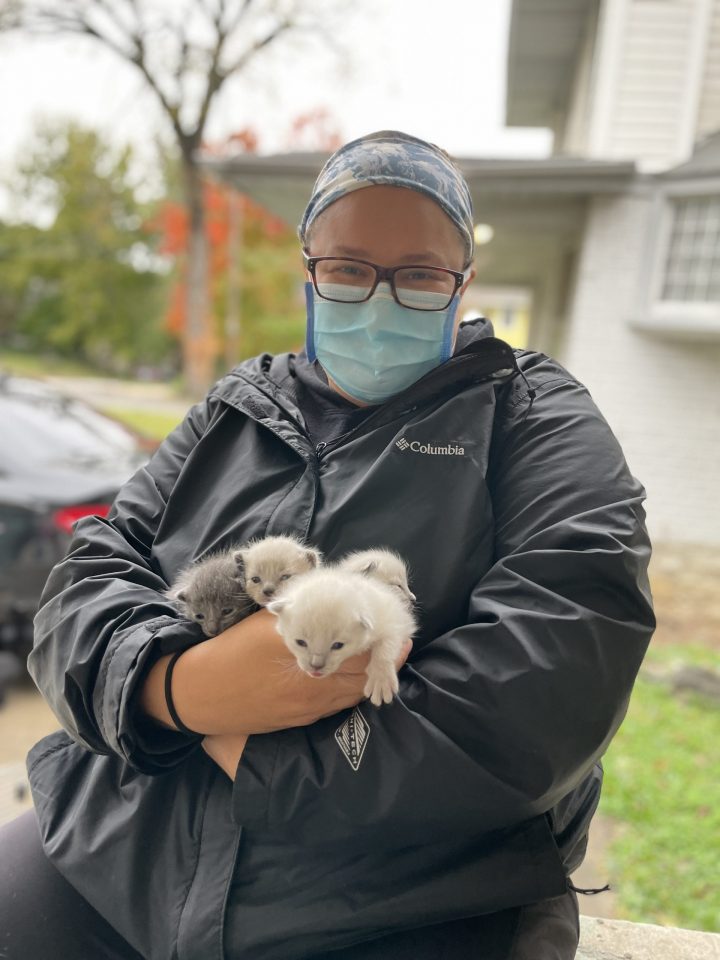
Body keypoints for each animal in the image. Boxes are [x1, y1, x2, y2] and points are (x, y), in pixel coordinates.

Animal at [268, 568, 416, 708]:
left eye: (338, 646)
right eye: (300, 642)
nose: (316, 666)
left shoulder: (396, 620)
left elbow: (387, 645)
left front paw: (381, 679)